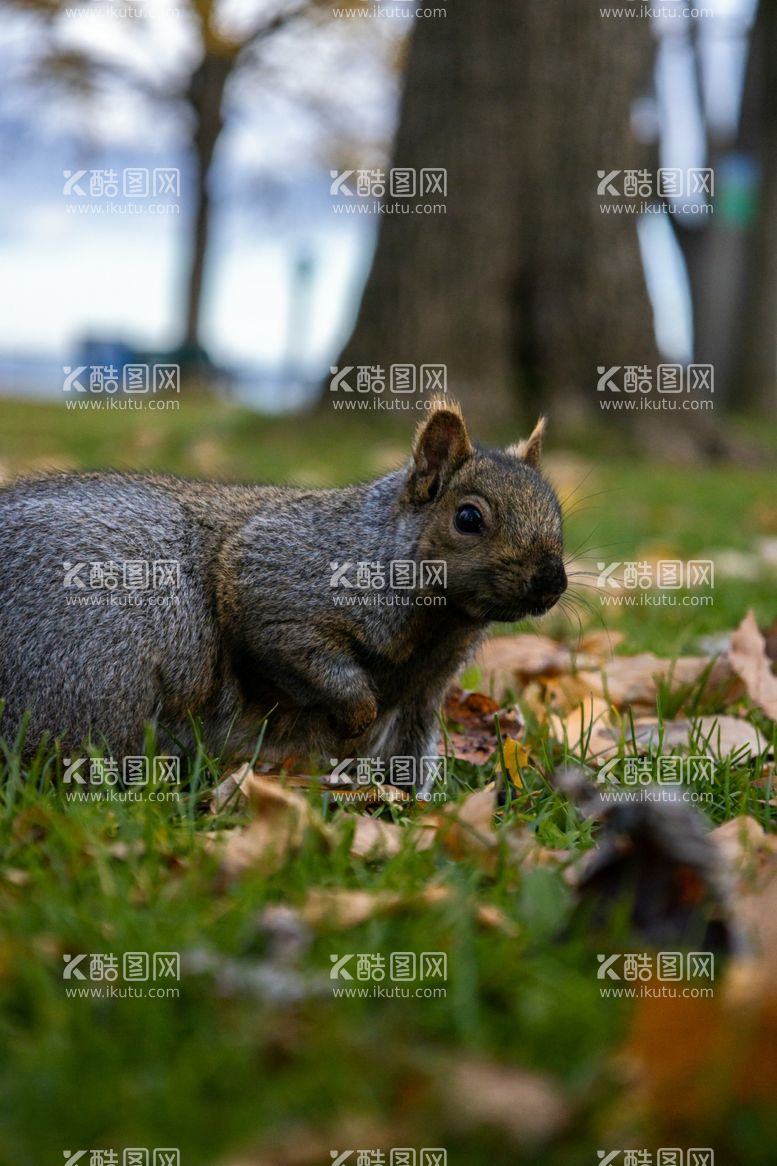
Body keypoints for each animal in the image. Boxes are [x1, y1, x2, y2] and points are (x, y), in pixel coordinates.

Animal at [0, 401, 562, 783]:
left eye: (557, 510)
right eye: (468, 518)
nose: (551, 583)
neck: (439, 625)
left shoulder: (424, 696)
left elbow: (411, 755)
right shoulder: (278, 580)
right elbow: (297, 649)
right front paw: (356, 716)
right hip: (102, 656)